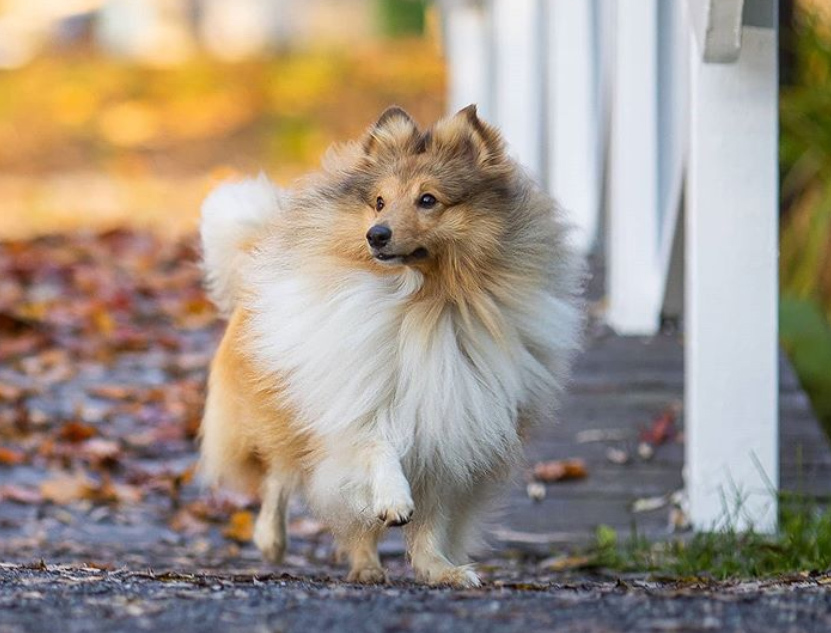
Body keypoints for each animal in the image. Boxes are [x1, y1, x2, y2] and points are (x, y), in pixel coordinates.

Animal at [199, 105, 584, 588]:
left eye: (428, 200)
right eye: (379, 201)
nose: (376, 235)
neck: (425, 303)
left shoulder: (453, 432)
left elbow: (433, 519)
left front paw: (441, 569)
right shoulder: (356, 406)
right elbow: (375, 449)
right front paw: (394, 502)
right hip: (283, 413)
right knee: (281, 478)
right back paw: (296, 547)